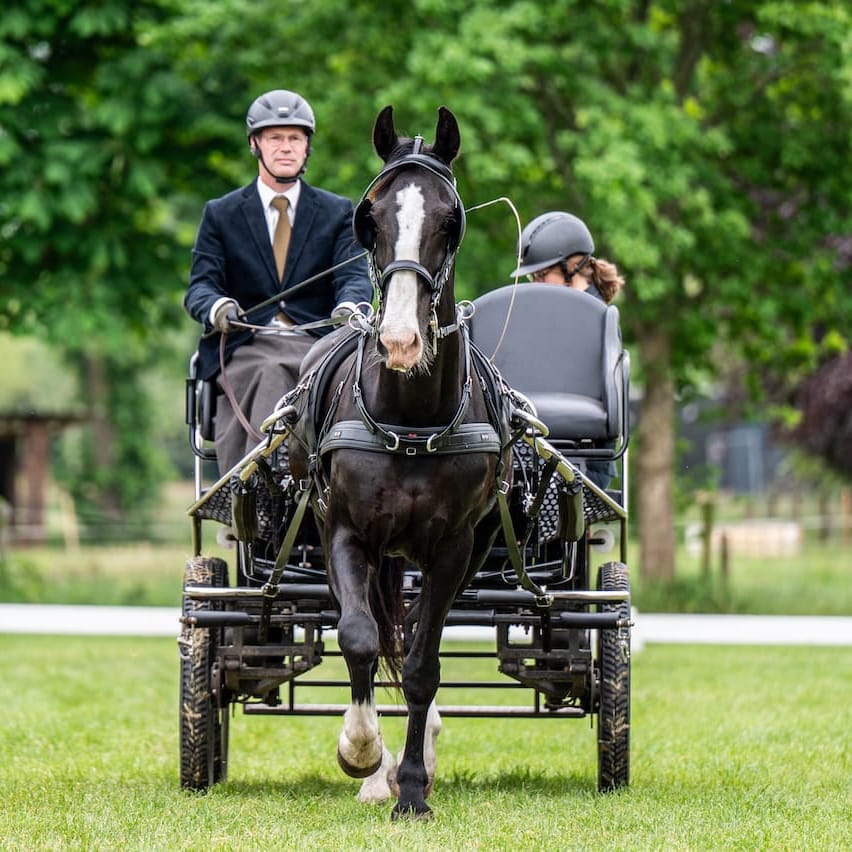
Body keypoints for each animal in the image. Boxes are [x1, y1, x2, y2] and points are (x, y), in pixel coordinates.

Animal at [288, 105, 511, 819]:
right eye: (373, 216)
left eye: (449, 219)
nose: (401, 340)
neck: (410, 419)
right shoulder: (344, 530)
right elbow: (358, 637)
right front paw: (362, 752)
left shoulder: (453, 547)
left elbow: (421, 664)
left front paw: (411, 787)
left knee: (415, 635)